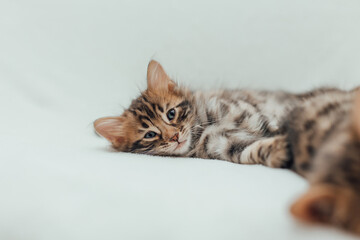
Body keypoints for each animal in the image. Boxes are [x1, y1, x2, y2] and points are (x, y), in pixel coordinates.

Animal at [94, 60, 360, 234]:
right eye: (151, 134)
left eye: (171, 114)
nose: (175, 137)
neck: (203, 129)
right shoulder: (224, 146)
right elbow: (252, 150)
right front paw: (279, 150)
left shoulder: (252, 112)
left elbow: (277, 122)